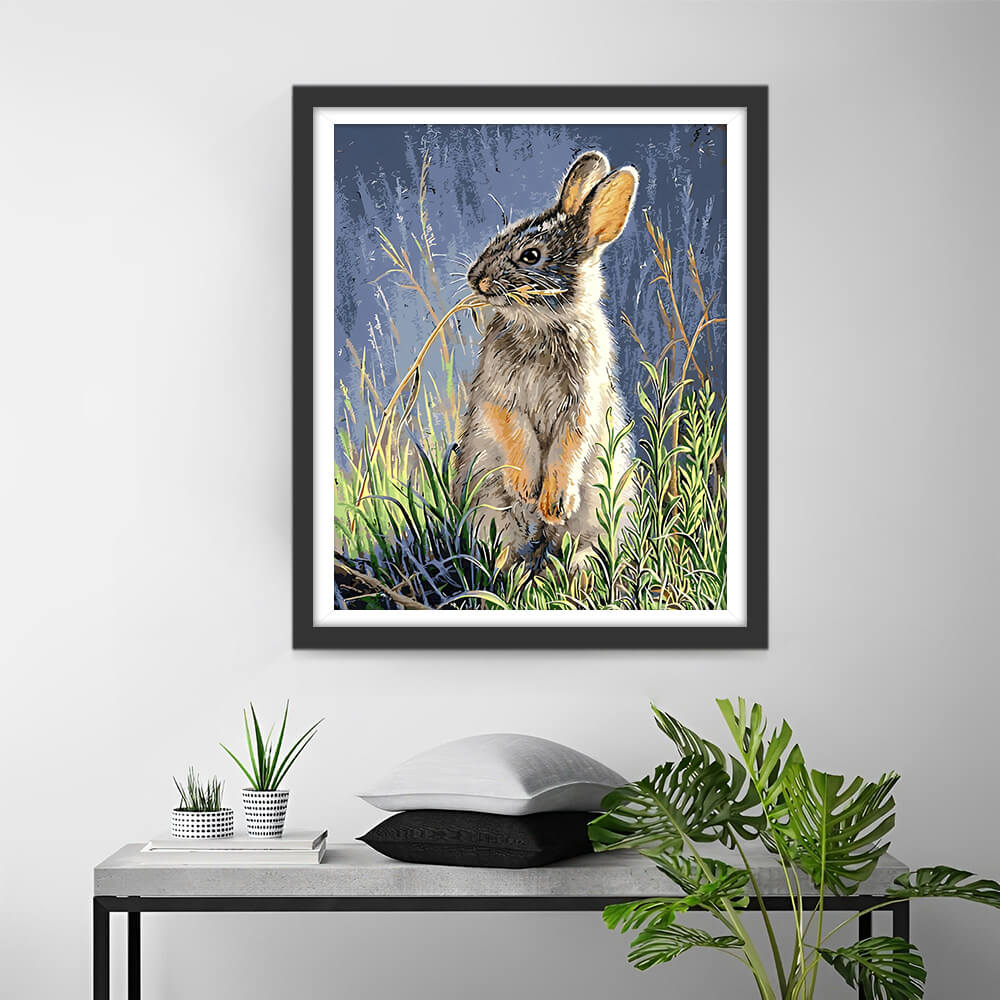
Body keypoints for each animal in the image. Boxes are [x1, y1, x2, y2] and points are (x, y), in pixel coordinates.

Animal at [452, 150, 638, 567]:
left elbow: (568, 447)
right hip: (488, 511)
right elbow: (516, 432)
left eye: (531, 256)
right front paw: (526, 488)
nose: (475, 279)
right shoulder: (499, 394)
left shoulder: (582, 402)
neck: (543, 327)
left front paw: (553, 503)